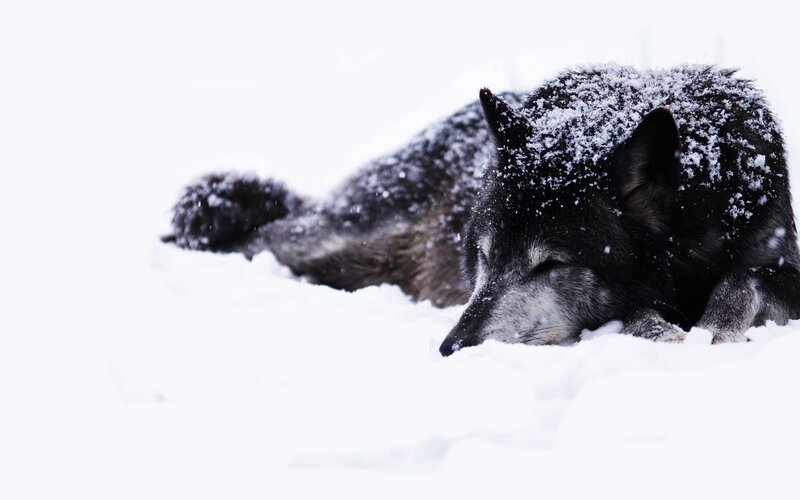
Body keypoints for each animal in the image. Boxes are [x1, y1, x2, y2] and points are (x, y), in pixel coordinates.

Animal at [163, 65, 800, 356]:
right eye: (485, 257)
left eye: (550, 265)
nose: (451, 347)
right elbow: (641, 312)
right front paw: (666, 330)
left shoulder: (779, 261)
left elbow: (745, 278)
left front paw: (714, 326)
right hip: (337, 241)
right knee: (255, 239)